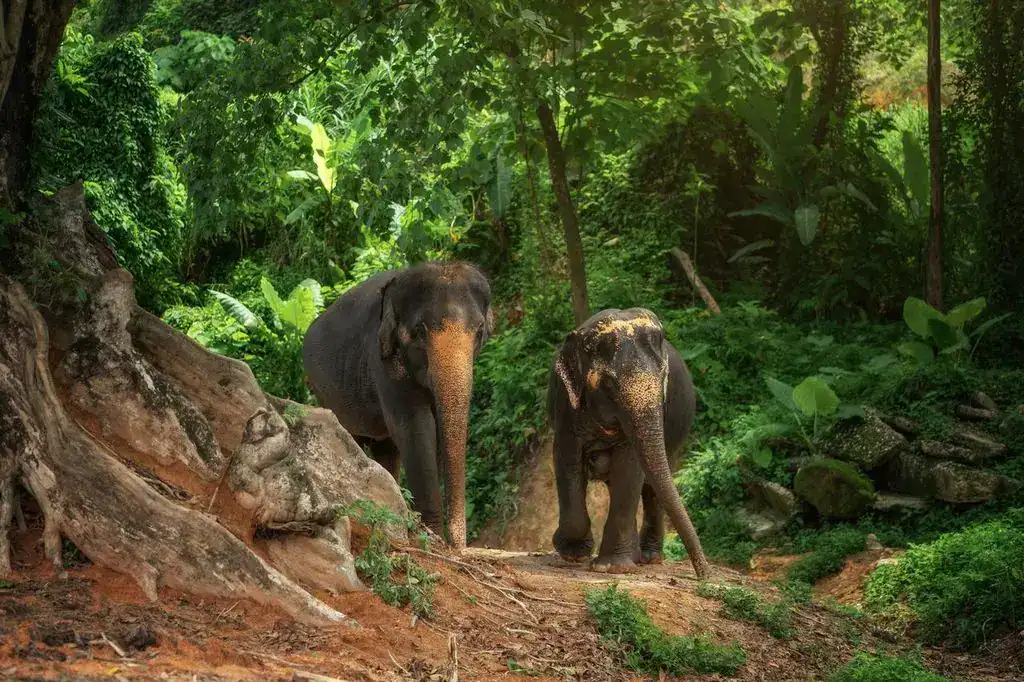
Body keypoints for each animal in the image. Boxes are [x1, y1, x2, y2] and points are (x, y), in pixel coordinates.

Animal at [302, 261, 492, 550]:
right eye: (420, 330)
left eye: (480, 330)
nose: (458, 547)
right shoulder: (383, 359)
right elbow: (416, 426)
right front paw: (432, 535)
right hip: (324, 390)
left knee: (386, 448)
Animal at [548, 308, 710, 578]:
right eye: (610, 385)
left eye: (663, 379)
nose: (704, 575)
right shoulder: (565, 406)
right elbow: (567, 460)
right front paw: (574, 553)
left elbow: (629, 468)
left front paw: (612, 567)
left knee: (652, 487)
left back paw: (648, 557)